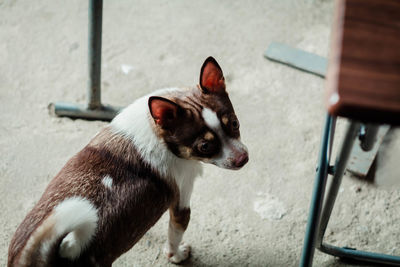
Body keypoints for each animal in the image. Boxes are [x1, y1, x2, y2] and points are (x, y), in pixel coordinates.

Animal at [7, 56, 248, 266]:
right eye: (205, 147)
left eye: (235, 123)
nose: (243, 159)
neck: (160, 136)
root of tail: (59, 249)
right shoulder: (181, 204)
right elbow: (175, 236)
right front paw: (177, 256)